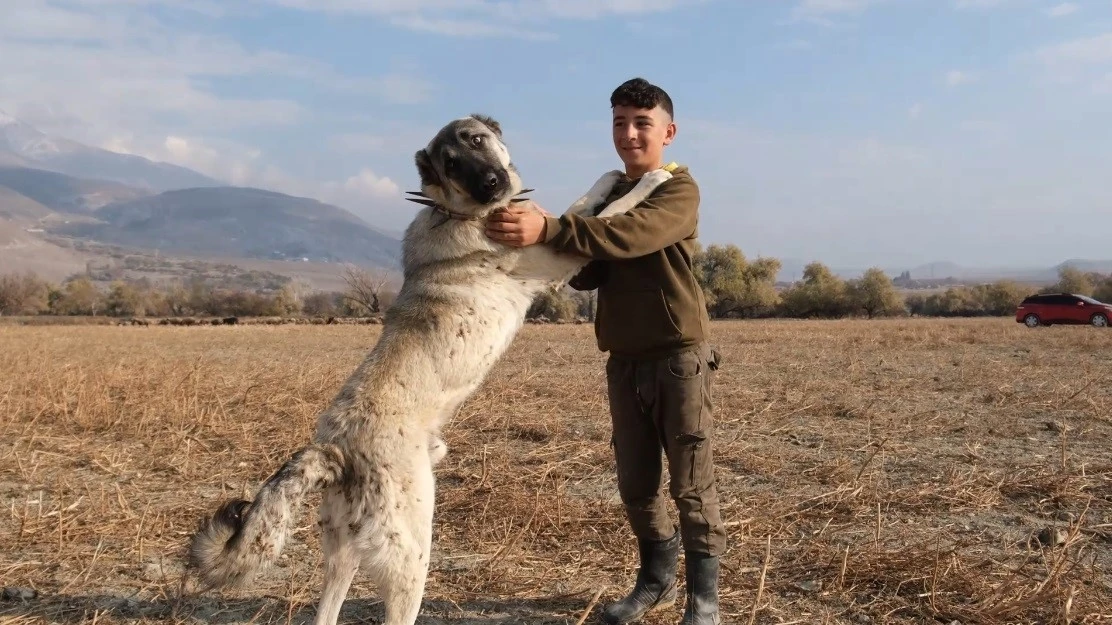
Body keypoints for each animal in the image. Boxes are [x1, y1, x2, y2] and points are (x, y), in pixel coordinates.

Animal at [185, 112, 671, 622]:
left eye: (477, 140)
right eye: (451, 164)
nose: (491, 183)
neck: (458, 211)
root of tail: (335, 449)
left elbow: (583, 206)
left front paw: (613, 176)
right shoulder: (558, 255)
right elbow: (606, 217)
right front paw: (654, 179)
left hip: (342, 553)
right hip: (410, 556)